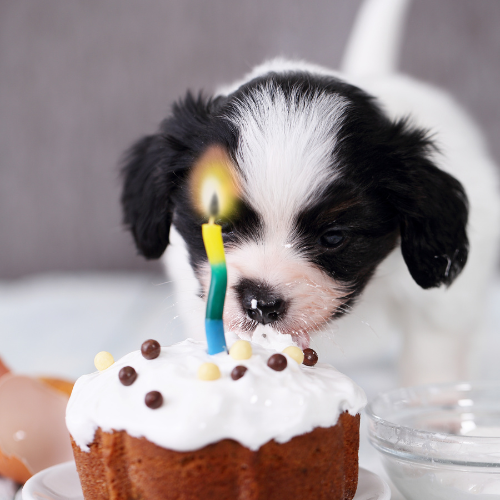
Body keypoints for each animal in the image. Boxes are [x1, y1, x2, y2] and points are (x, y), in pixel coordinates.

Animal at [120, 0, 500, 386]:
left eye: (333, 237)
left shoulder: (441, 306)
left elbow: (433, 354)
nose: (262, 302)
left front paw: (434, 397)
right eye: (221, 227)